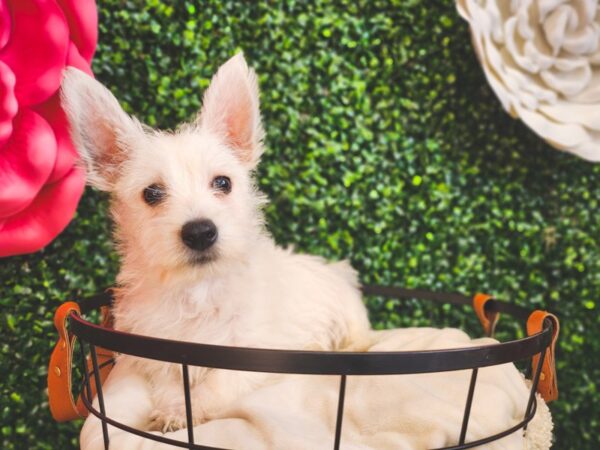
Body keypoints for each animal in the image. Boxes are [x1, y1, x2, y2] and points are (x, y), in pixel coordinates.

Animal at [62, 52, 370, 446]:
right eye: (152, 193)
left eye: (223, 183)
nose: (200, 232)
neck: (199, 289)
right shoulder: (156, 345)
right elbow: (169, 378)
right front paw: (172, 409)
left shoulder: (256, 348)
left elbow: (218, 383)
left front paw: (183, 412)